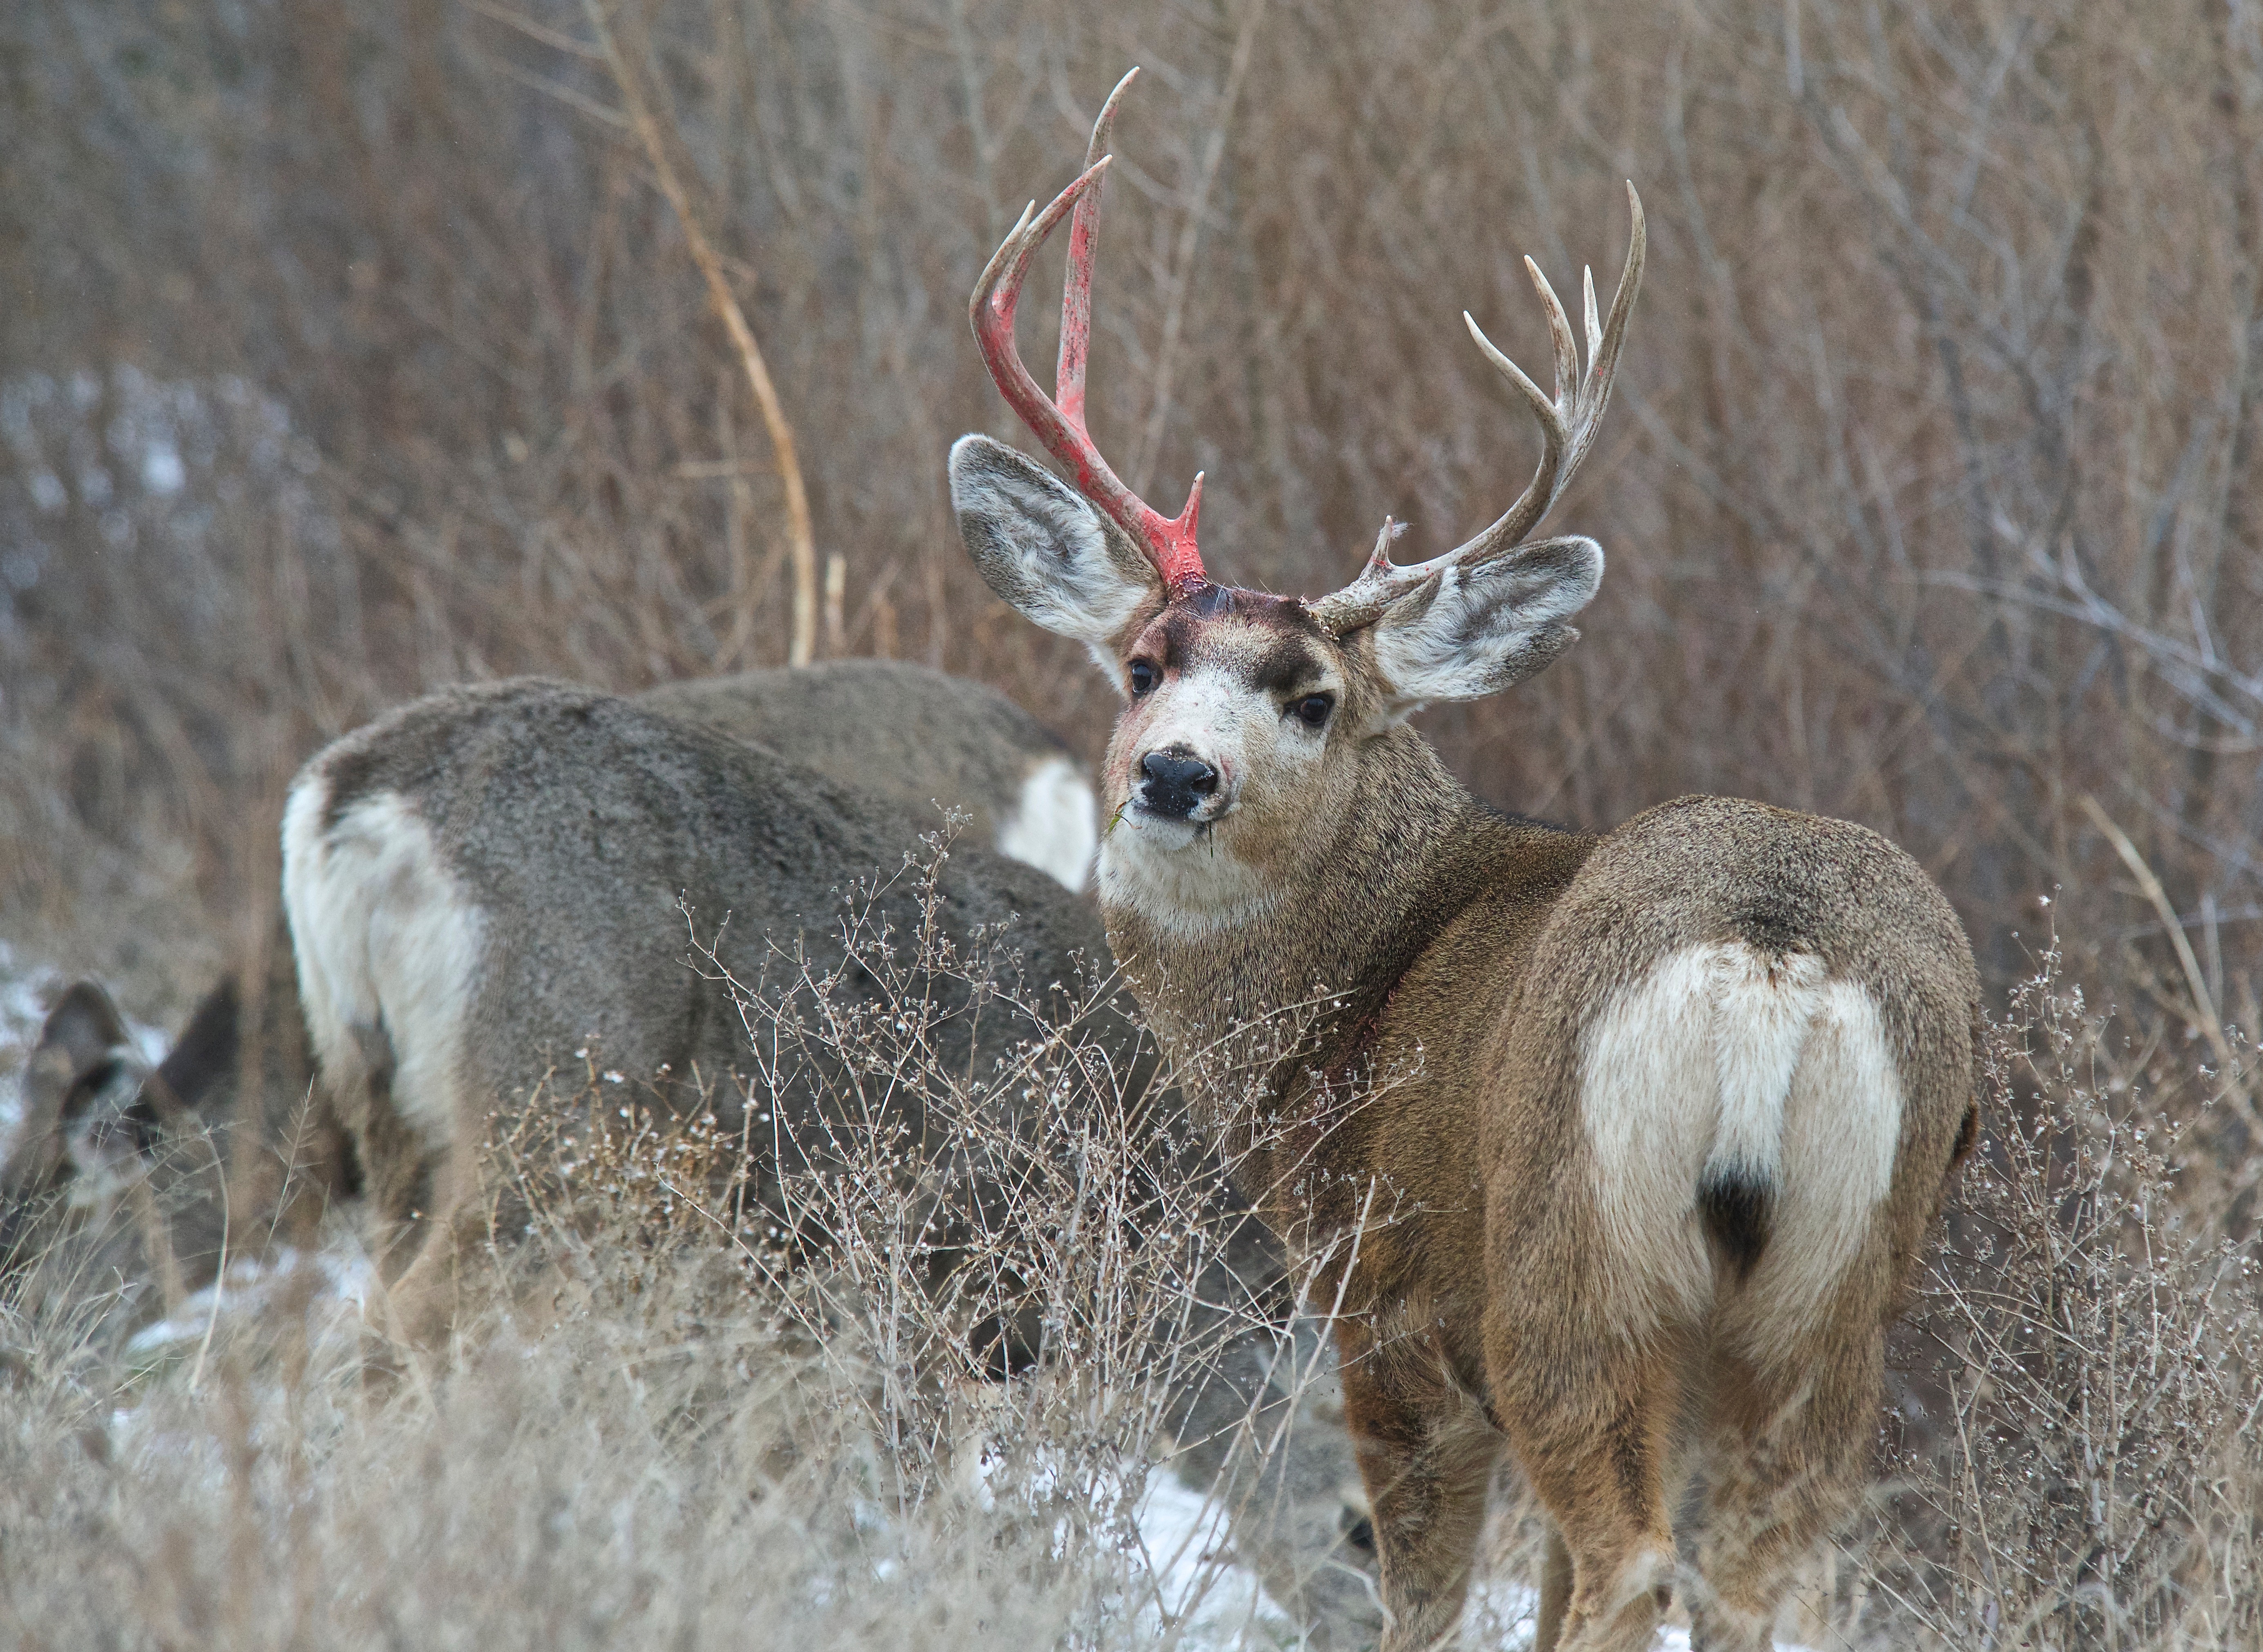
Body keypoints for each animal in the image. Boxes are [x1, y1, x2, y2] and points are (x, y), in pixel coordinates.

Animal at [955, 71, 1982, 1647]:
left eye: (1313, 696)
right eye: (1140, 664)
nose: (1175, 772)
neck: (1339, 1006)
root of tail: (1774, 954)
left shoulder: (1385, 1319)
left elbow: (1423, 1597)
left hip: (1566, 1266)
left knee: (1630, 1557)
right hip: (1832, 1299)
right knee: (1764, 1573)